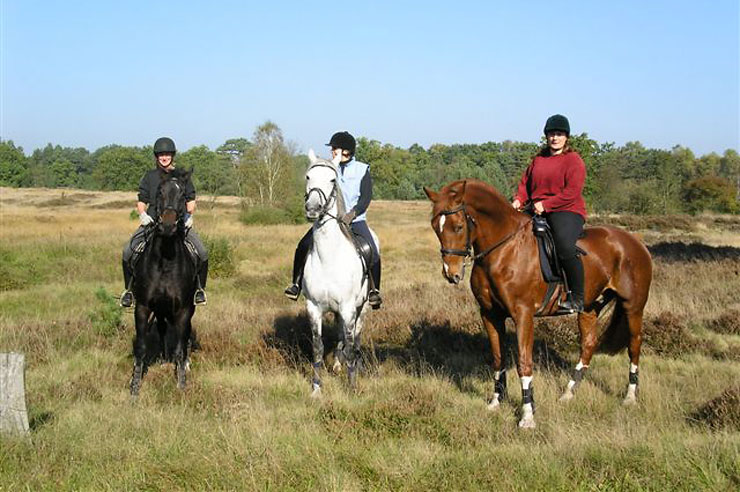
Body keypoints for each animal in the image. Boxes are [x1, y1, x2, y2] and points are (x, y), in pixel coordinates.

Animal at [131, 169, 198, 396]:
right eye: (159, 192)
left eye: (183, 195)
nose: (167, 225)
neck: (166, 261)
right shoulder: (143, 307)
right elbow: (141, 348)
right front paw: (135, 387)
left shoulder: (184, 309)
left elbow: (180, 346)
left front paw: (181, 383)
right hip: (160, 310)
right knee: (161, 329)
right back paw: (162, 357)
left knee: (183, 335)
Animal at [304, 149, 378, 396]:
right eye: (308, 177)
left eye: (332, 180)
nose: (313, 208)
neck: (328, 258)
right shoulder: (313, 308)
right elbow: (318, 347)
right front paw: (316, 388)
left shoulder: (348, 308)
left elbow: (351, 344)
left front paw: (352, 386)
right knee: (339, 337)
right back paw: (336, 365)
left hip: (362, 308)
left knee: (355, 338)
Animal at [424, 180, 652, 426]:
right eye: (435, 227)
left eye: (458, 227)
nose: (452, 274)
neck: (504, 249)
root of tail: (635, 241)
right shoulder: (490, 315)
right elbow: (498, 359)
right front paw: (496, 402)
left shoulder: (523, 315)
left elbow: (524, 364)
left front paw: (527, 415)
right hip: (590, 308)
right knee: (589, 344)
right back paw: (568, 394)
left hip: (633, 307)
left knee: (634, 345)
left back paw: (630, 397)